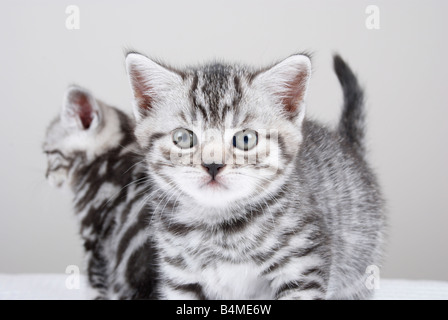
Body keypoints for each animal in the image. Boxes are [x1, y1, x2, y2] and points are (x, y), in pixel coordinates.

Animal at [125, 52, 384, 300]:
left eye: (246, 139)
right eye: (183, 138)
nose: (213, 165)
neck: (217, 227)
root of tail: (347, 144)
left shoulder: (303, 265)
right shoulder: (180, 277)